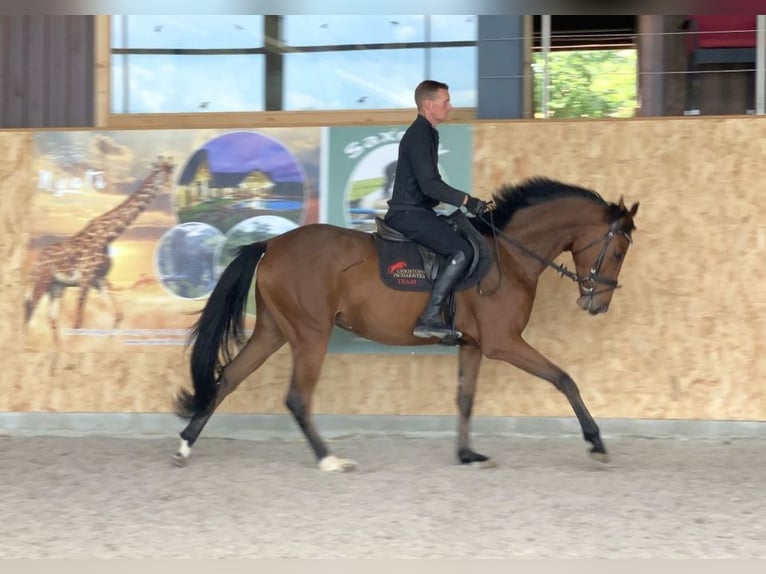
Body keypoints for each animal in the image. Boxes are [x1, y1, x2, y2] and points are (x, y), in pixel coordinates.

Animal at [24, 155, 176, 344]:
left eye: (172, 170)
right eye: (159, 171)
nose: (169, 186)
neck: (108, 235)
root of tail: (36, 261)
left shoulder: (100, 279)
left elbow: (118, 315)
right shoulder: (85, 278)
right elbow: (78, 321)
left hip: (57, 285)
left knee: (51, 317)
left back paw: (56, 349)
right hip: (43, 279)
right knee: (30, 310)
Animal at [174, 177, 640, 472]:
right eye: (618, 251)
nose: (597, 305)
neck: (509, 255)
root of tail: (271, 244)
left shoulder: (473, 345)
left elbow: (465, 398)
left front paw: (467, 454)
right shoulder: (502, 342)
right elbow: (564, 379)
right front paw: (596, 443)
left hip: (273, 330)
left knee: (228, 378)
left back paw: (184, 446)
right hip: (310, 334)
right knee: (297, 398)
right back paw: (329, 460)